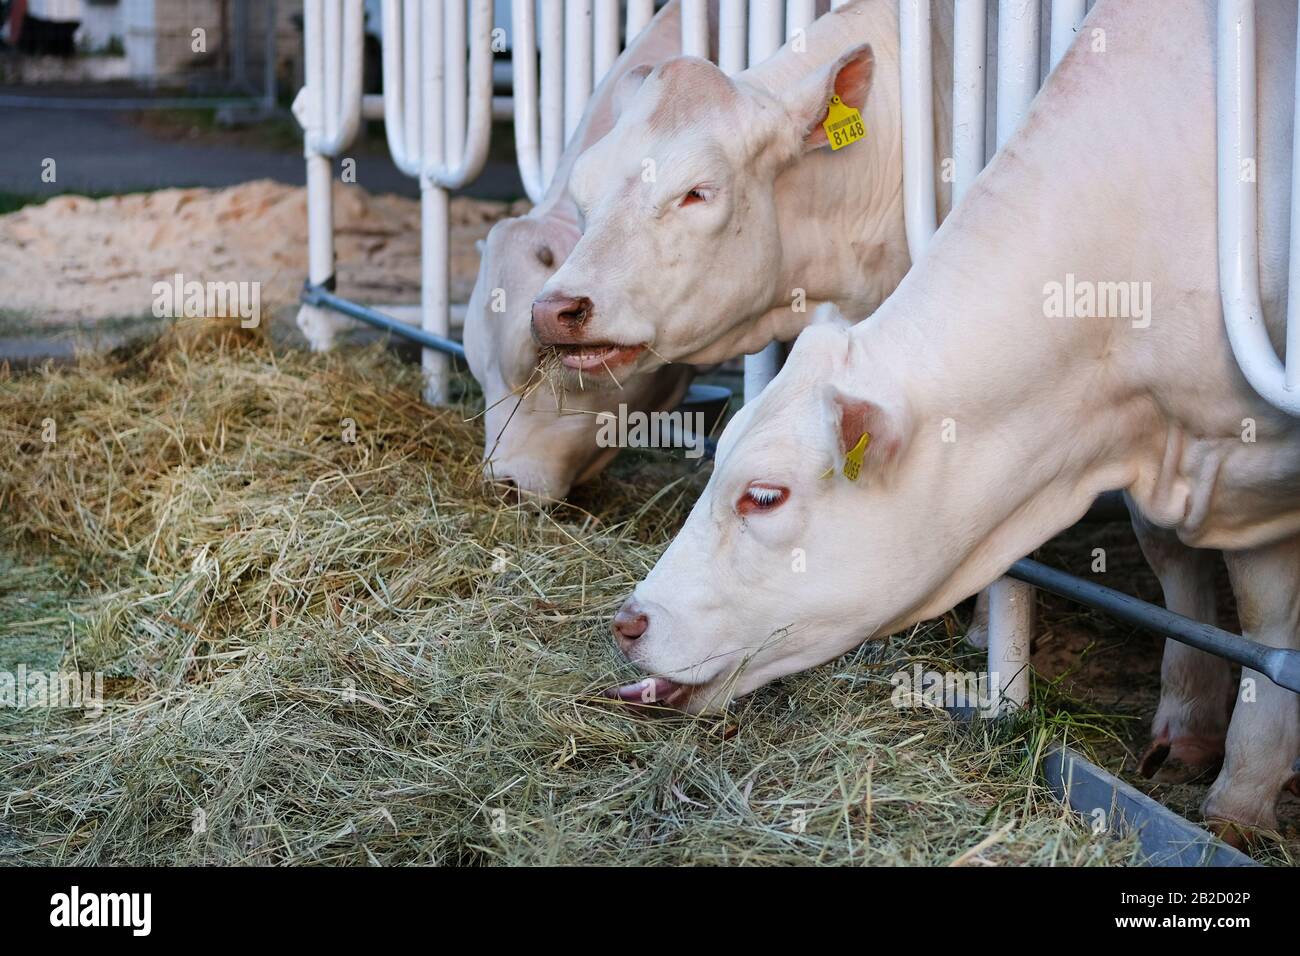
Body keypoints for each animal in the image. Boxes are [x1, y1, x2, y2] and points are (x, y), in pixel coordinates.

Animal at [611, 0, 1300, 837]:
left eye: (764, 495)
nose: (628, 623)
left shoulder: (1253, 458)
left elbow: (1267, 615)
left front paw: (1242, 796)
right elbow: (1171, 555)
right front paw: (1191, 724)